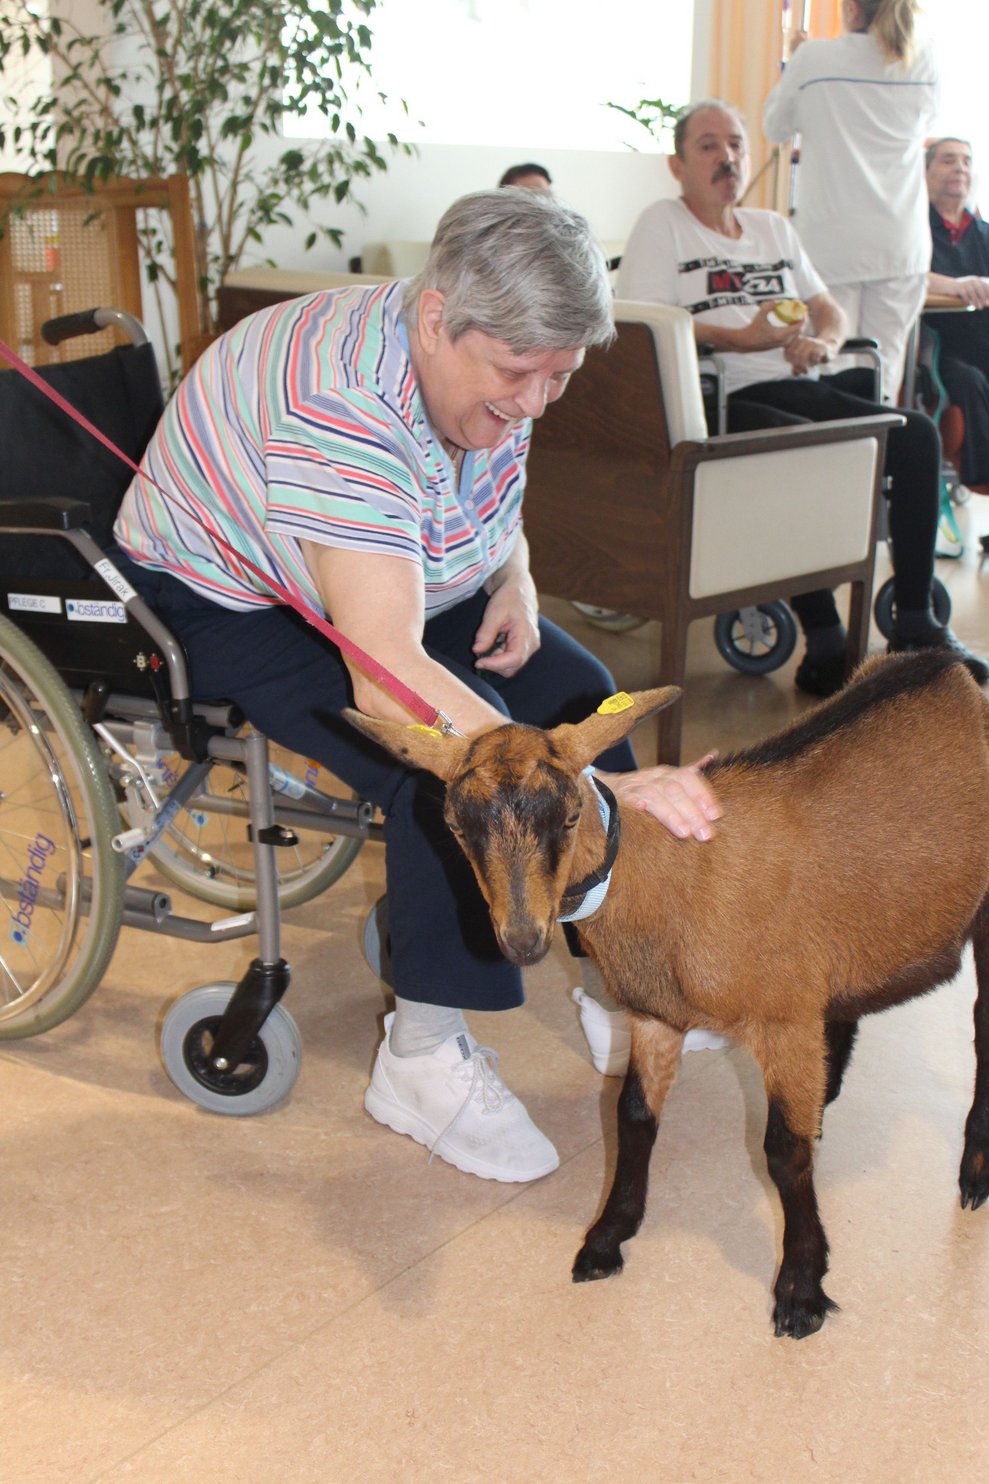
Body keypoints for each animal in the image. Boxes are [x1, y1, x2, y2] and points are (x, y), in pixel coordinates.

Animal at [347, 649, 989, 1338]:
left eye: (569, 815)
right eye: (455, 827)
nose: (522, 940)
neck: (677, 879)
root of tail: (952, 662)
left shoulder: (784, 1019)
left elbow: (783, 1152)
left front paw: (801, 1287)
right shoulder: (657, 1017)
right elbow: (633, 1117)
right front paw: (608, 1237)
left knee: (981, 1026)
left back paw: (973, 1171)